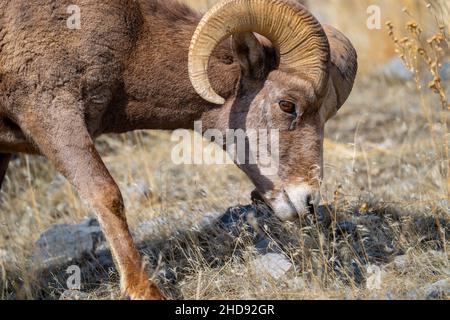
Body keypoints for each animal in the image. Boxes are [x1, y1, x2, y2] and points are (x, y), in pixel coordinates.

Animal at [0, 0, 358, 300]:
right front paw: (143, 290)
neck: (133, 41)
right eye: (287, 105)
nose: (307, 201)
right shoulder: (53, 117)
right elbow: (107, 195)